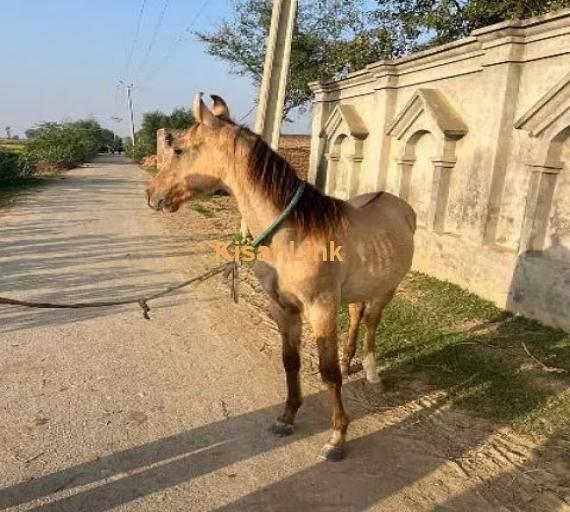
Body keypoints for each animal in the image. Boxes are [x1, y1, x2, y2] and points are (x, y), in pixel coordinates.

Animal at [145, 93, 412, 460]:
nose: (151, 194)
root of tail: (398, 204)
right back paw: (350, 362)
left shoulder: (321, 309)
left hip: (388, 288)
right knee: (358, 316)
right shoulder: (282, 308)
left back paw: (372, 374)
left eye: (180, 149)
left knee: (372, 323)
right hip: (361, 289)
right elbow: (290, 362)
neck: (294, 235)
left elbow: (328, 374)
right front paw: (286, 418)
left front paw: (337, 437)